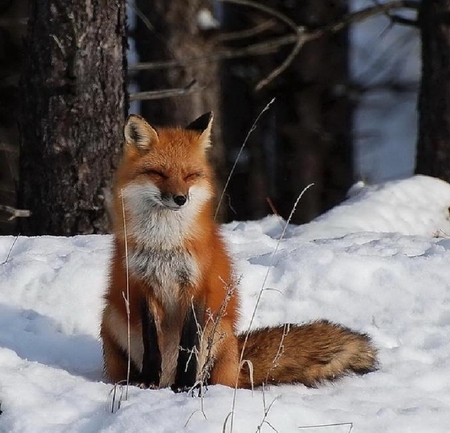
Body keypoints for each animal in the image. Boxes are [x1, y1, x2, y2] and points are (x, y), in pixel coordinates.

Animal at [100, 112, 378, 392]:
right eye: (158, 173)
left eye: (190, 175)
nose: (181, 199)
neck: (164, 243)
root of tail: (238, 362)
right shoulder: (141, 285)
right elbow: (151, 343)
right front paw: (148, 379)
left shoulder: (197, 287)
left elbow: (189, 346)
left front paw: (186, 386)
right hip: (110, 317)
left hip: (218, 330)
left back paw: (199, 386)